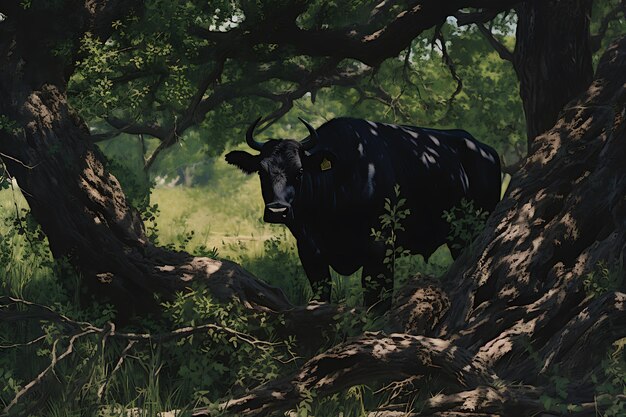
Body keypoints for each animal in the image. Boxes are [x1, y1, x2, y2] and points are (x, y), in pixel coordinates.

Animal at [224, 115, 498, 310]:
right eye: (262, 171)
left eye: (300, 171)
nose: (278, 210)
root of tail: (485, 150)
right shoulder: (309, 250)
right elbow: (322, 294)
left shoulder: (380, 247)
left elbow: (376, 299)